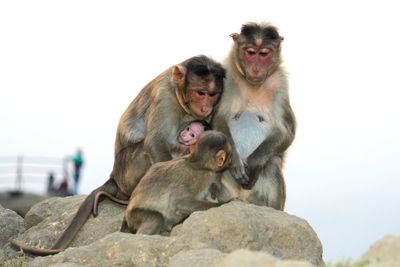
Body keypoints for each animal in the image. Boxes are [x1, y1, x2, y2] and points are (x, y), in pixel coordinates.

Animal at [10, 55, 227, 255]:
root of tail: (113, 176)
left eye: (212, 95)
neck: (178, 94)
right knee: (144, 152)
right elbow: (155, 143)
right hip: (127, 170)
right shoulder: (165, 97)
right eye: (200, 93)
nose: (206, 107)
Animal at [211, 22, 296, 211]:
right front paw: (235, 160)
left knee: (272, 162)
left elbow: (285, 131)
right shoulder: (225, 76)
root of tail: (242, 198)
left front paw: (255, 163)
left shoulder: (280, 84)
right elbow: (218, 119)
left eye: (263, 54)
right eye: (250, 52)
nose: (256, 68)